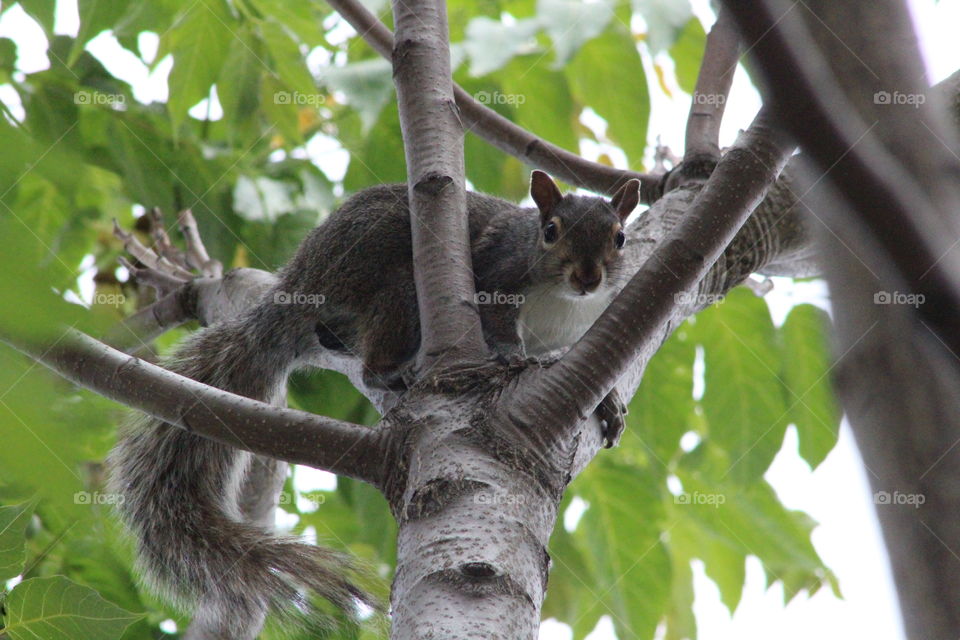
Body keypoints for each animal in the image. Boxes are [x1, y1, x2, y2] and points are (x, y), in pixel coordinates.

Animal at [108, 170, 640, 638]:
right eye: (550, 231)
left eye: (620, 238)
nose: (588, 277)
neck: (563, 302)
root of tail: (298, 279)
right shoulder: (498, 269)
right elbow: (499, 324)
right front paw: (513, 357)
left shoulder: (575, 330)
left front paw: (608, 402)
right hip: (391, 280)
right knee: (372, 355)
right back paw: (391, 373)